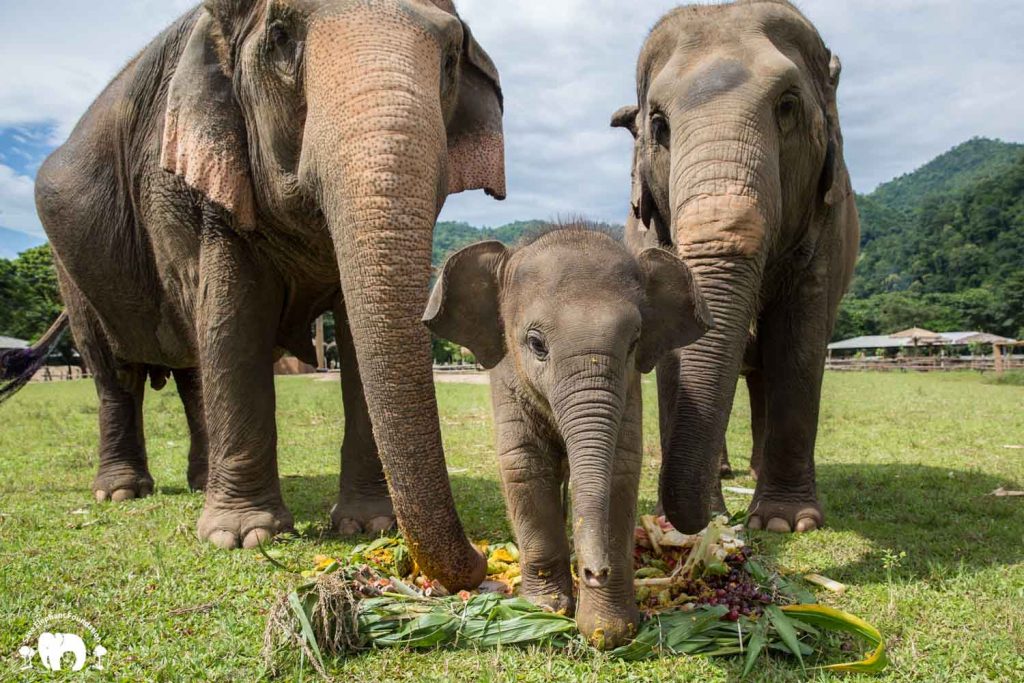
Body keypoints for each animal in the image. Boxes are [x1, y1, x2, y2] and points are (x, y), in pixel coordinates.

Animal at [22, 0, 505, 589]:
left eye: (452, 58)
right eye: (279, 39)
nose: (482, 561)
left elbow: (350, 332)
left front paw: (369, 526)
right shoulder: (193, 185)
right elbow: (234, 321)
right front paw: (243, 537)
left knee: (192, 371)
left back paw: (201, 481)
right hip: (68, 269)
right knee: (115, 372)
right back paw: (120, 492)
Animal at [423, 227, 712, 651]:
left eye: (633, 343)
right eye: (536, 344)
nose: (594, 571)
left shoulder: (629, 390)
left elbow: (620, 469)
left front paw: (608, 630)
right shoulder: (506, 378)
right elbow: (524, 465)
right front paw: (543, 611)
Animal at [610, 0, 860, 532]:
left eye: (787, 105)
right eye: (658, 125)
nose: (696, 520)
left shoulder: (827, 225)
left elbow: (798, 343)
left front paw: (785, 523)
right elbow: (674, 351)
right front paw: (705, 518)